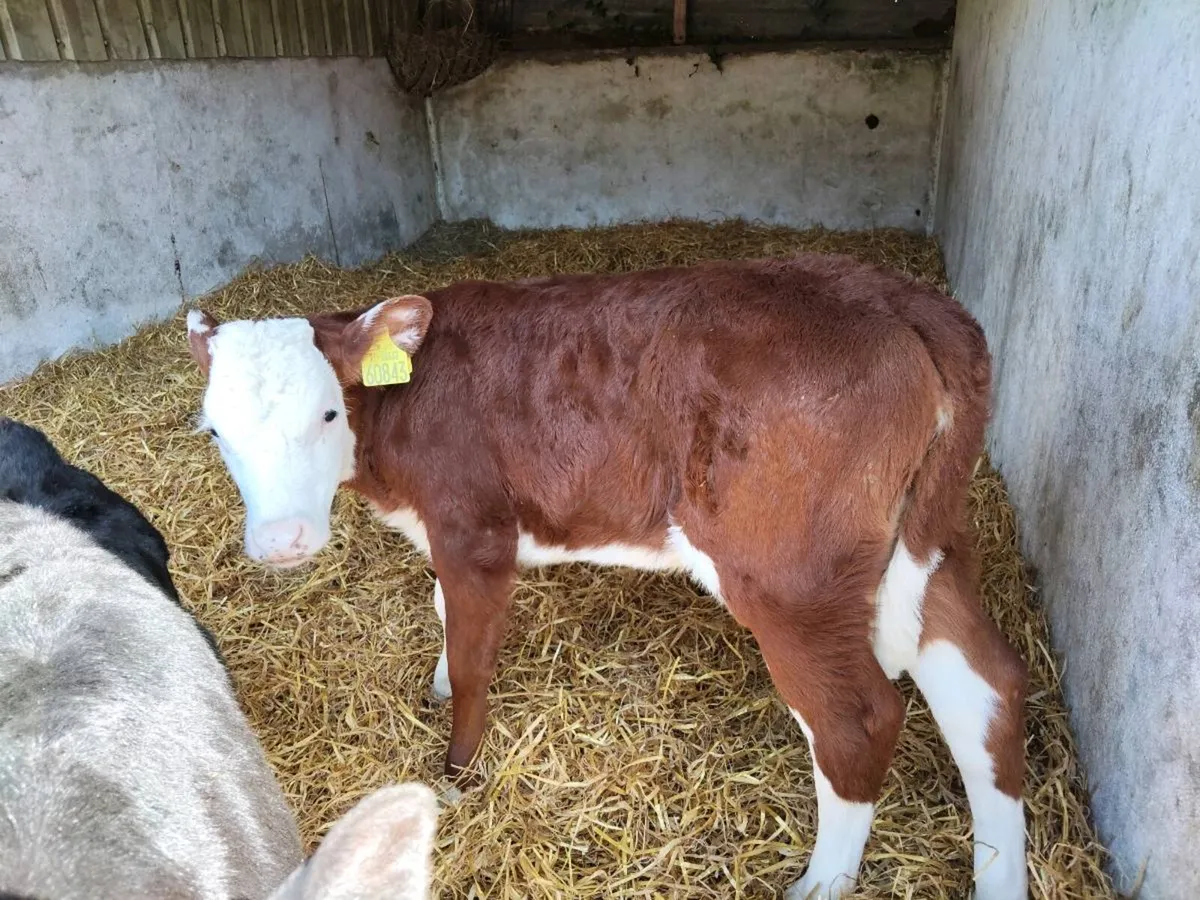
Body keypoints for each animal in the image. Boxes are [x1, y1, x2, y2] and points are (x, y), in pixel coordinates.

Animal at [186, 253, 1029, 900]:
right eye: (217, 431)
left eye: (329, 414)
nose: (282, 542)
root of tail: (889, 292)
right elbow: (440, 611)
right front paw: (436, 684)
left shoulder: (474, 532)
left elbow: (472, 655)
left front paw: (457, 774)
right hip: (928, 542)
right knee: (984, 684)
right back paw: (999, 877)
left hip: (790, 575)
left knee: (858, 722)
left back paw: (819, 883)